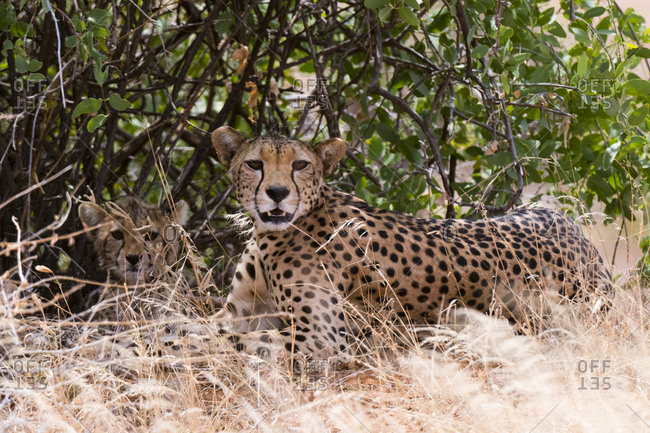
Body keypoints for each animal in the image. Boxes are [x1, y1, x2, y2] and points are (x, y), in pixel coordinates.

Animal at [210, 126, 613, 360]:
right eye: (254, 164)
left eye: (300, 165)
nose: (277, 193)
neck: (273, 233)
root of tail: (573, 228)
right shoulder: (238, 311)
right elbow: (206, 325)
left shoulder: (323, 338)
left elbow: (233, 342)